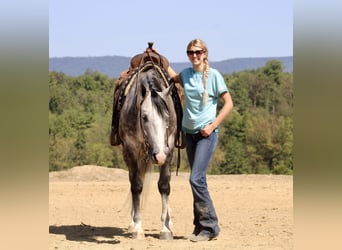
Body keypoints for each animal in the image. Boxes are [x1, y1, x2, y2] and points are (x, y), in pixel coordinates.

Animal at [116, 59, 178, 240]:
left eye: (167, 116)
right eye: (144, 117)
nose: (159, 156)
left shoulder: (169, 149)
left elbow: (164, 185)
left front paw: (165, 229)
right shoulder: (131, 150)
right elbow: (136, 185)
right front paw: (137, 228)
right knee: (133, 182)